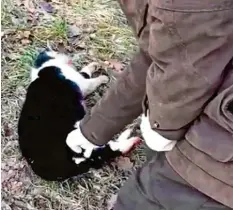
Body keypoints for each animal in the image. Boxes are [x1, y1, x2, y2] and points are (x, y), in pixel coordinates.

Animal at [17, 48, 140, 181]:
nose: (46, 49)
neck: (43, 68)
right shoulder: (82, 84)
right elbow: (89, 79)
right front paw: (103, 78)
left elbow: (84, 72)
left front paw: (94, 65)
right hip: (81, 140)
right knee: (109, 148)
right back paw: (131, 138)